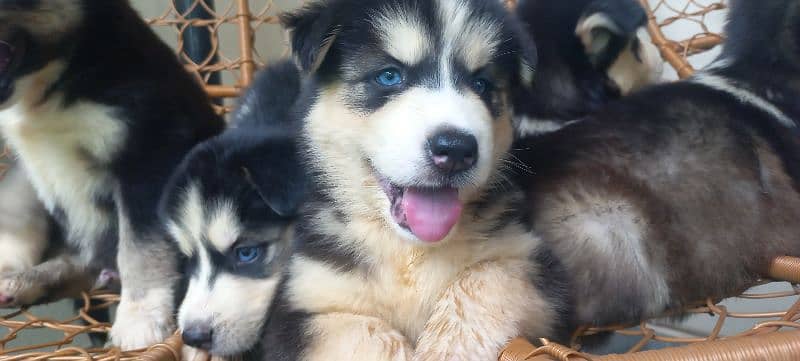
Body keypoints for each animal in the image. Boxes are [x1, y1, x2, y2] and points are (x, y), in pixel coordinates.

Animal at [0, 0, 225, 348]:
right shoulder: (27, 166)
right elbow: (18, 217)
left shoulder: (147, 156)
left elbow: (140, 247)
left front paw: (139, 320)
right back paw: (23, 282)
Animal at [260, 1, 572, 358]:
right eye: (389, 75)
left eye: (481, 84)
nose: (455, 149)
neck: (409, 251)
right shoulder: (302, 306)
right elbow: (364, 334)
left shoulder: (535, 264)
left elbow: (485, 278)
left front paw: (445, 349)